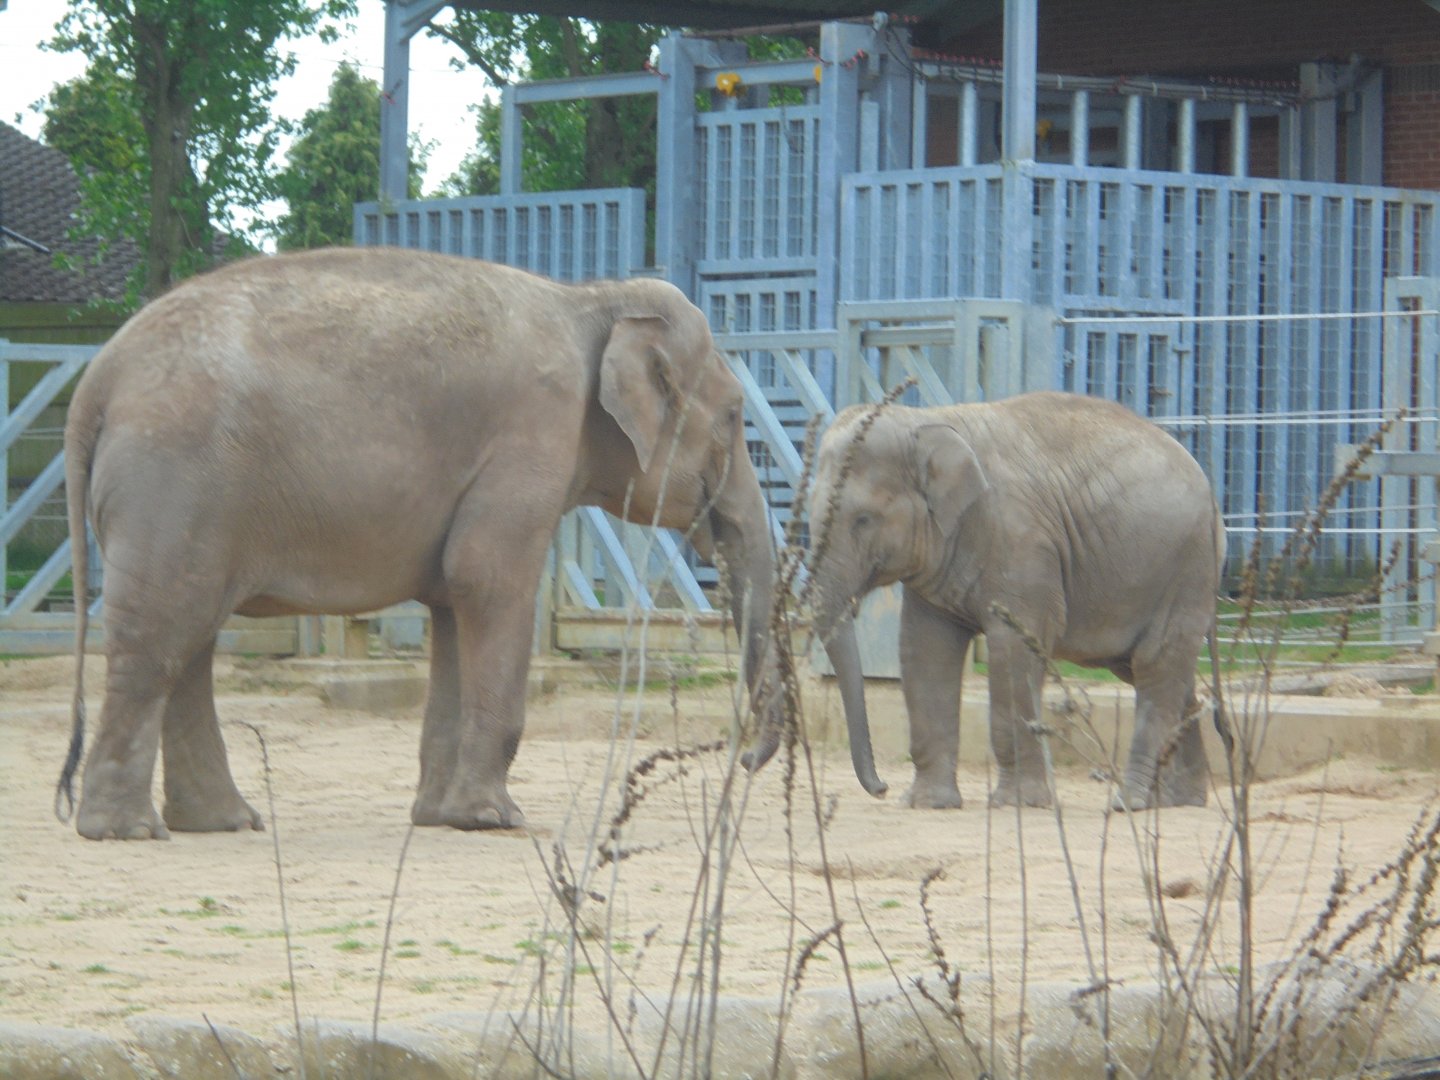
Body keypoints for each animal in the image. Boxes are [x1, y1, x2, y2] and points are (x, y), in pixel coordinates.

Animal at [56, 247, 778, 840]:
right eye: (735, 415)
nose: (743, 756)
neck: (594, 301)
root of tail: (96, 382)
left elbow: (455, 604)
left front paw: (443, 817)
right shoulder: (531, 433)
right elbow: (486, 580)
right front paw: (493, 819)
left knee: (189, 638)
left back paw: (222, 823)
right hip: (172, 484)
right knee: (161, 637)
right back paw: (126, 831)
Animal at [804, 391, 1224, 811]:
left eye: (863, 519)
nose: (882, 788)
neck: (926, 421)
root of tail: (1211, 495)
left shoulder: (1022, 543)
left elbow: (1013, 649)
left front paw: (1018, 803)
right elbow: (924, 650)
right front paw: (928, 803)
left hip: (1186, 568)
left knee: (1157, 665)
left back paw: (1129, 803)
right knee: (1154, 671)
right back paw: (1178, 801)